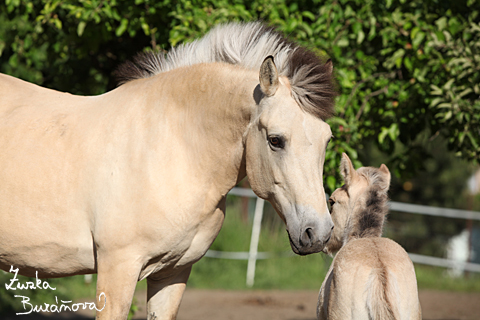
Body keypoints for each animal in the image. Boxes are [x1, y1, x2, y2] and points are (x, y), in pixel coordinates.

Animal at [0, 21, 338, 318]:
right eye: (275, 140)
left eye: (327, 139)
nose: (317, 232)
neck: (173, 148)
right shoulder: (117, 268)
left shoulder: (173, 273)